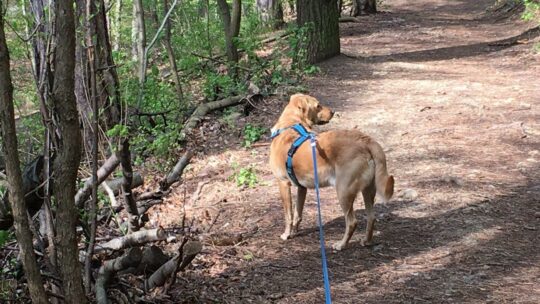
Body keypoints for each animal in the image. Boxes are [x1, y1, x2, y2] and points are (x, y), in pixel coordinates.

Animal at [268, 94, 392, 251]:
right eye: (318, 105)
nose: (333, 111)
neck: (290, 124)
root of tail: (366, 141)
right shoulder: (302, 188)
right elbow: (298, 214)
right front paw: (295, 232)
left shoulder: (283, 184)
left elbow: (288, 215)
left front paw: (286, 234)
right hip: (368, 190)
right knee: (371, 217)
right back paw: (367, 241)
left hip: (343, 191)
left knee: (352, 222)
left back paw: (341, 244)